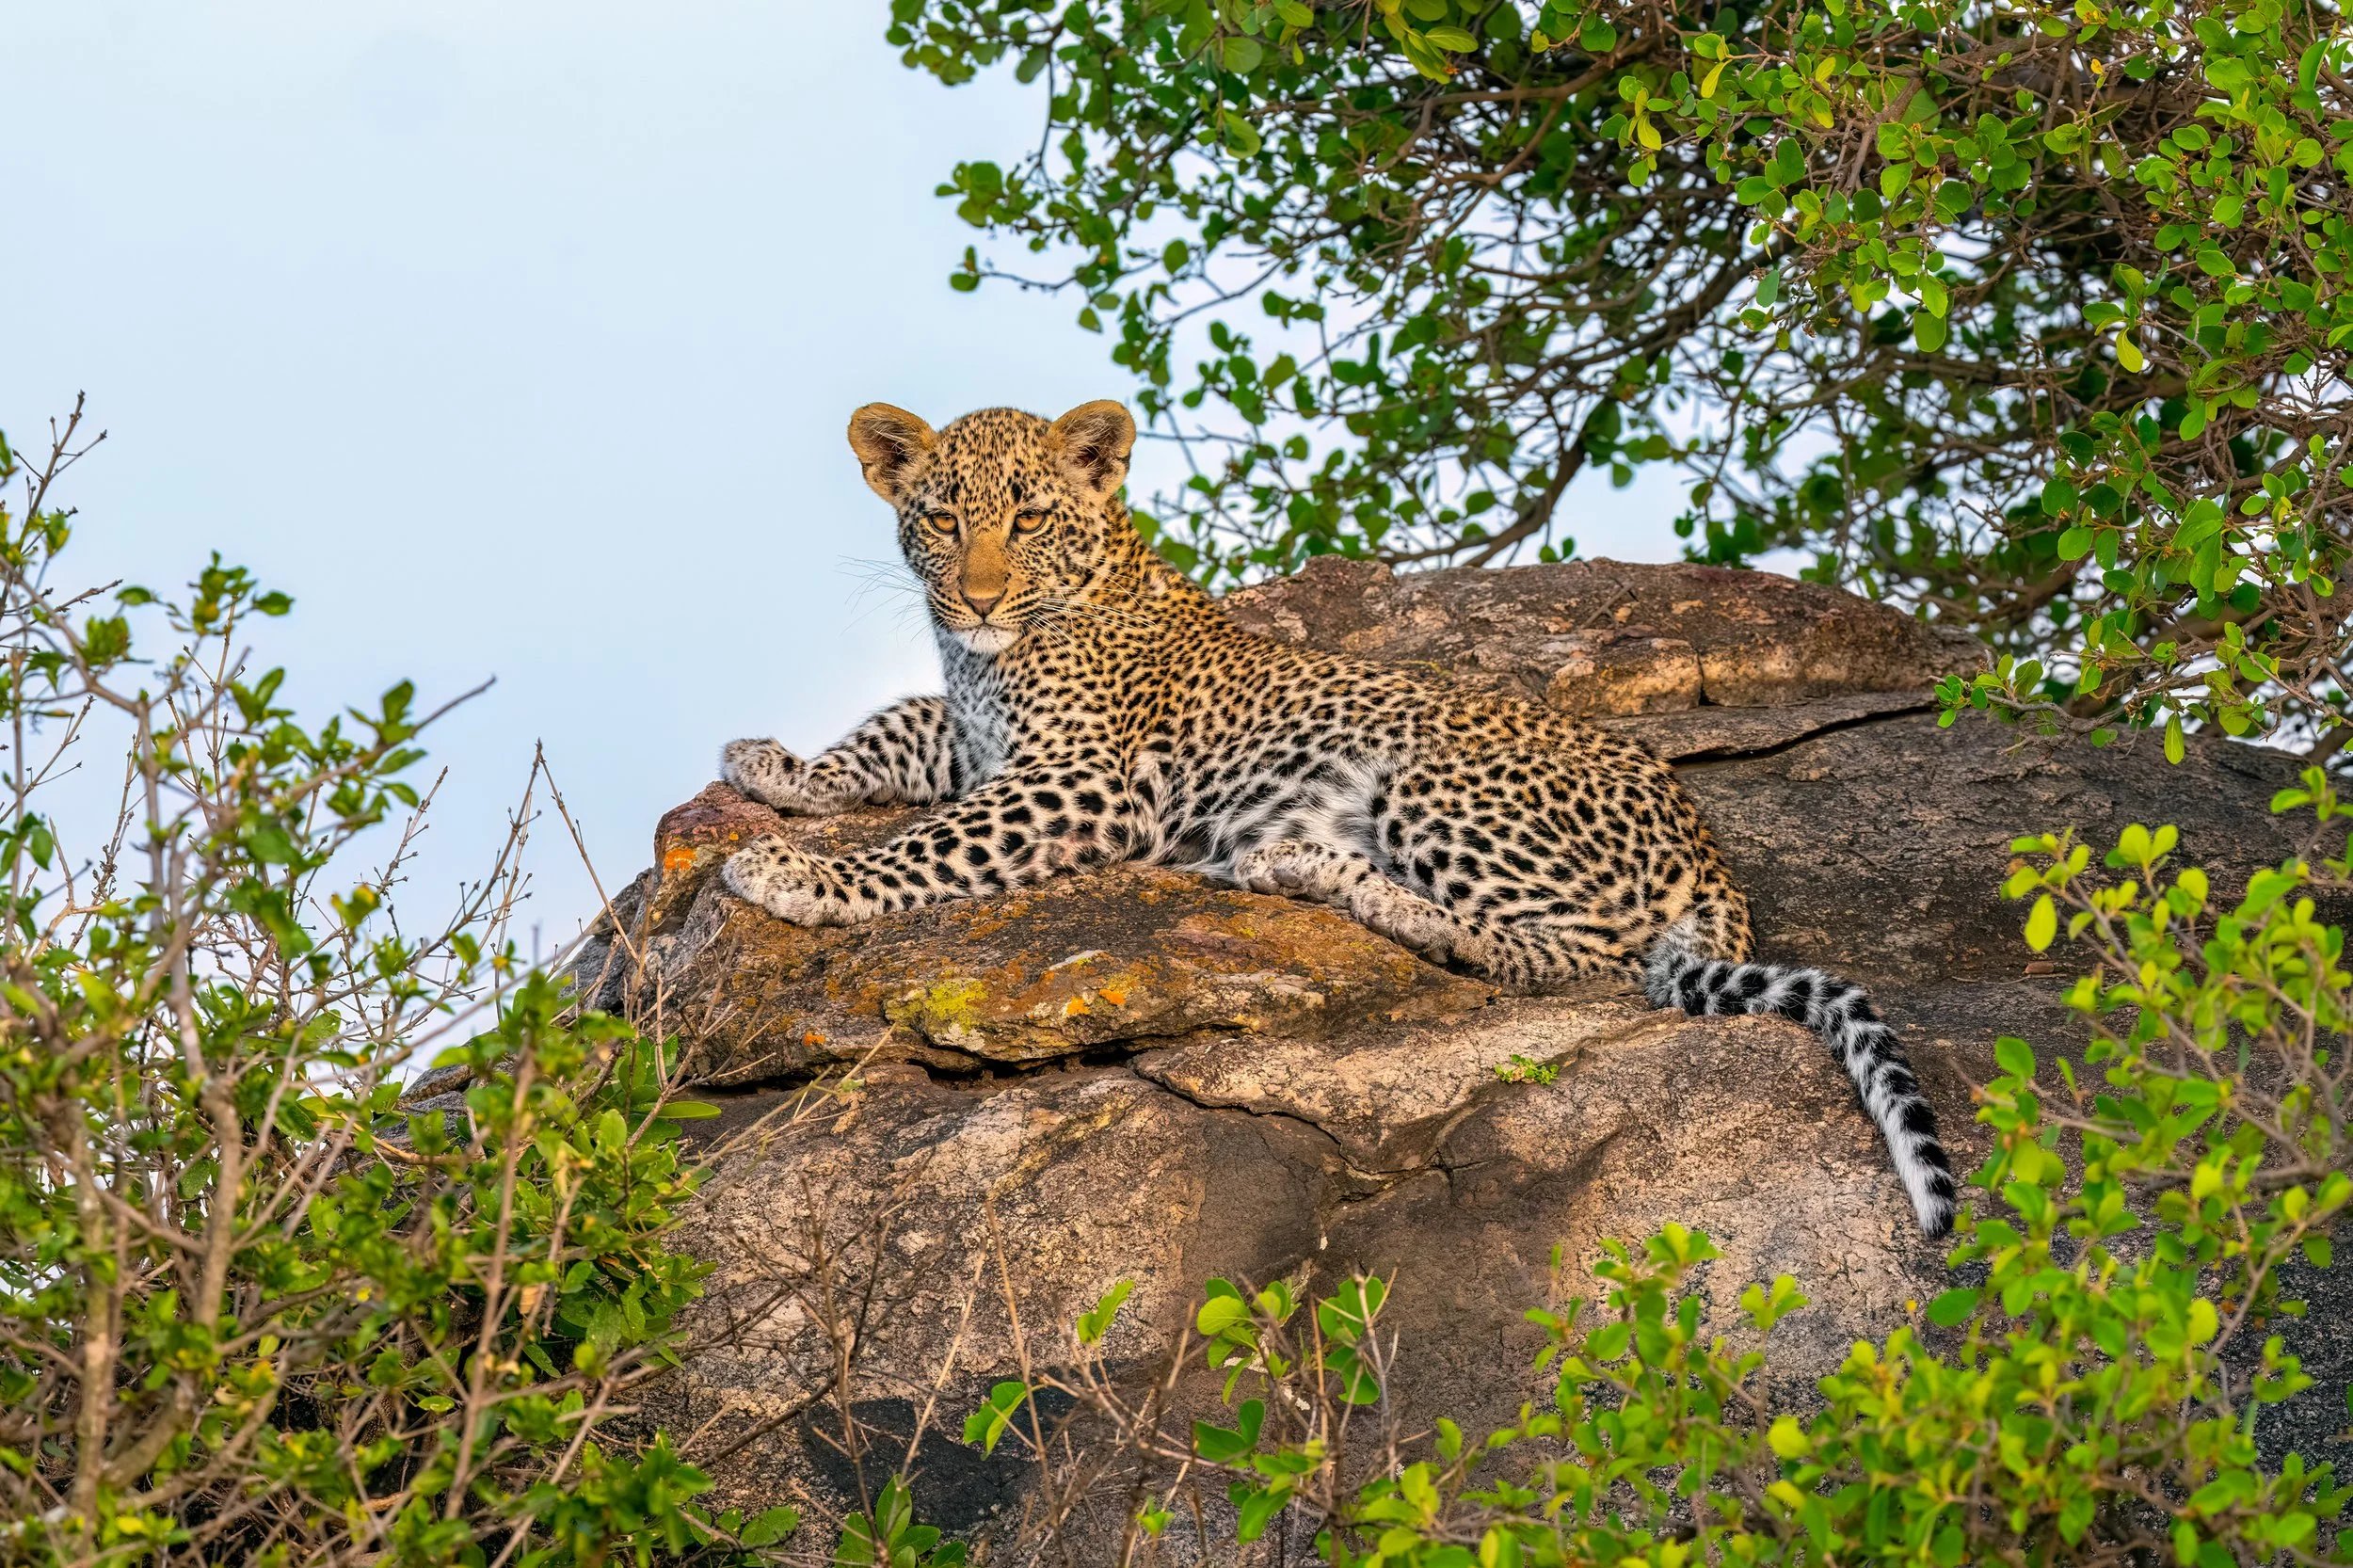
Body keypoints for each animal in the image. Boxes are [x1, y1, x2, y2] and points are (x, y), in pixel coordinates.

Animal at [718, 399, 1957, 1235]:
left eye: (1026, 518)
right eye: (938, 518)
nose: (974, 598)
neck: (997, 652)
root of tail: (1713, 860)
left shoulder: (1084, 780)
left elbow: (934, 843)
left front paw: (798, 874)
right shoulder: (975, 737)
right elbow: (893, 727)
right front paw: (779, 766)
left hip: (1436, 781)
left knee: (1579, 961)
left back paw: (1304, 869)